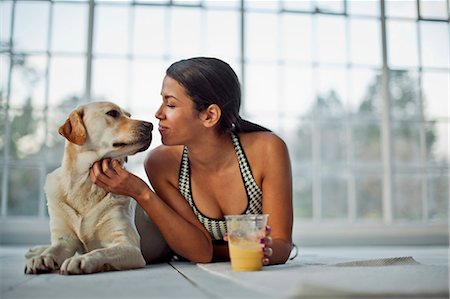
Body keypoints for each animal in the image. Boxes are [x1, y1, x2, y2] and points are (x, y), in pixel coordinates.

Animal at [25, 102, 151, 276]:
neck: (86, 184)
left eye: (129, 116)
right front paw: (41, 258)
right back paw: (36, 251)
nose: (151, 125)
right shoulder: (65, 241)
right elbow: (53, 249)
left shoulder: (128, 245)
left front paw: (81, 260)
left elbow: (102, 251)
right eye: (112, 113)